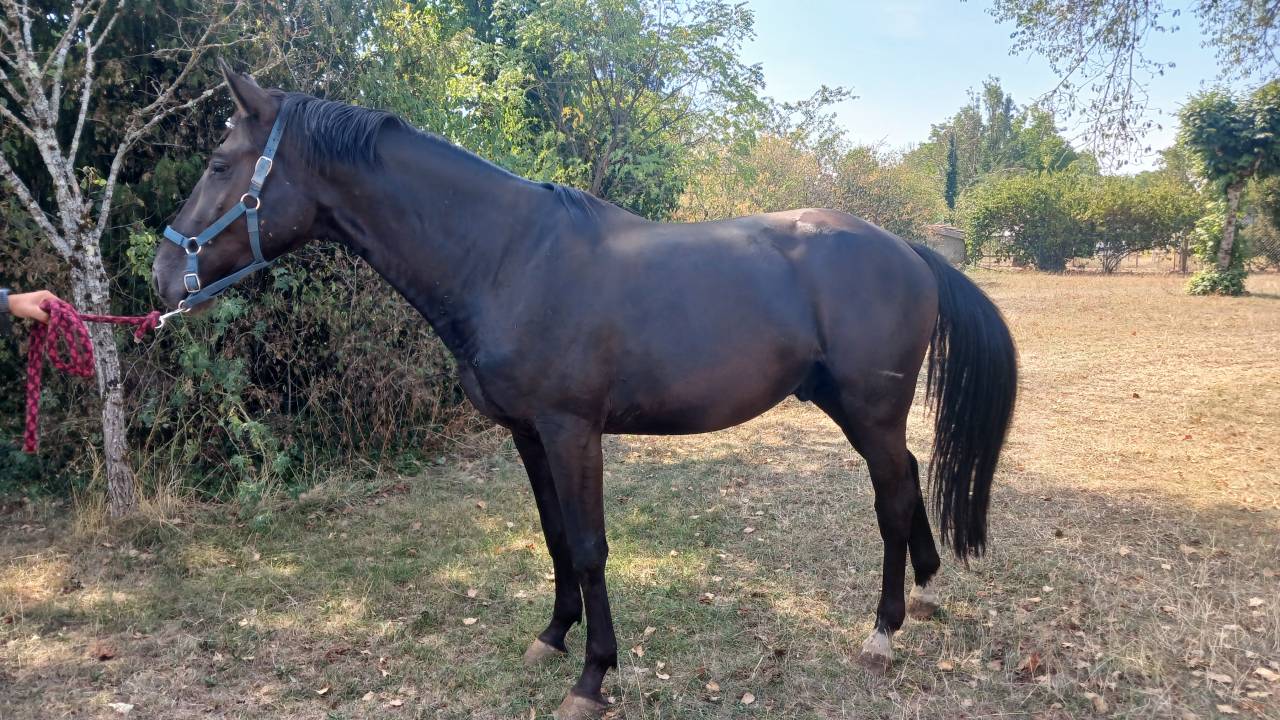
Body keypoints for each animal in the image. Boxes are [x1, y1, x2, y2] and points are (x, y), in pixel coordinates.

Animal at [153, 63, 1017, 719]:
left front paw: (594, 676)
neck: (507, 257)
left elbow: (594, 546)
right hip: (850, 406)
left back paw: (883, 631)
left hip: (869, 411)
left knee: (891, 496)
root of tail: (905, 248)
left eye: (221, 165)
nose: (162, 275)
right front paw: (552, 636)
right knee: (907, 479)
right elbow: (556, 538)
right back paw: (926, 591)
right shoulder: (527, 432)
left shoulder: (573, 430)